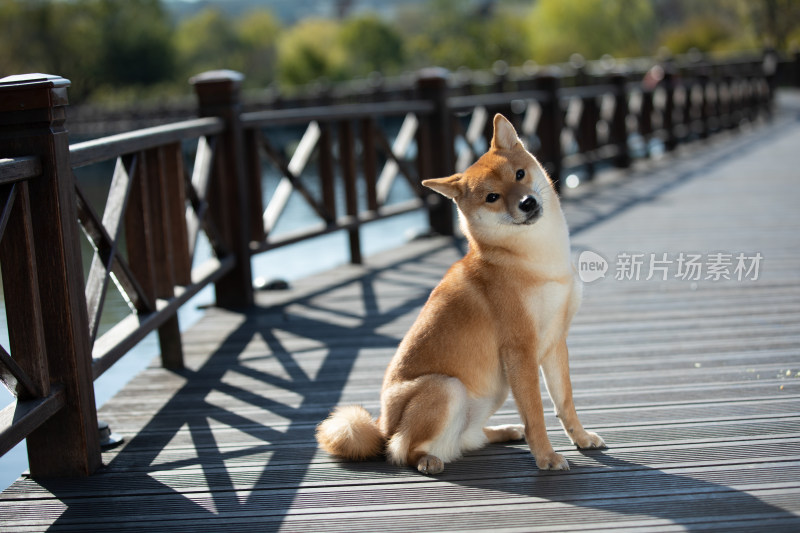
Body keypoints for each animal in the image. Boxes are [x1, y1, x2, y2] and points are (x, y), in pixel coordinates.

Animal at [316, 113, 604, 474]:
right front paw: (547, 457)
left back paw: (502, 431)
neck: (537, 260)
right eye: (492, 197)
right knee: (402, 449)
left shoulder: (555, 342)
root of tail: (382, 426)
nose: (527, 203)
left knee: (469, 438)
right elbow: (536, 415)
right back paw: (427, 460)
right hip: (446, 386)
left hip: (493, 391)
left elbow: (565, 402)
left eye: (519, 174)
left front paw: (581, 437)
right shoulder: (520, 350)